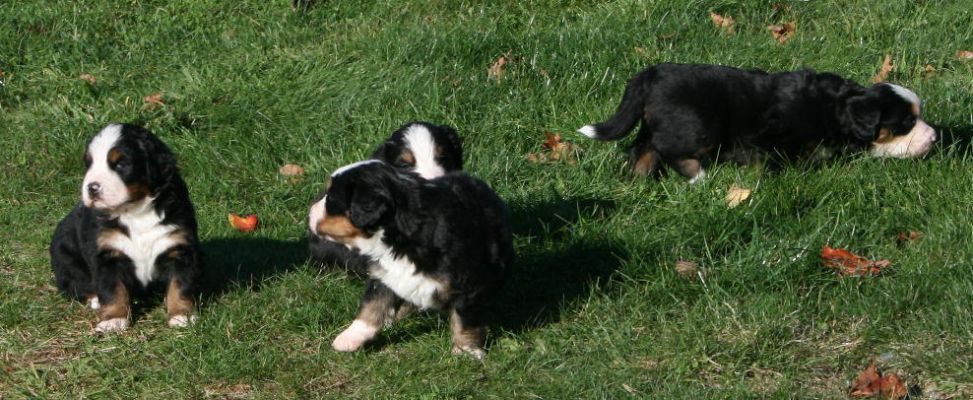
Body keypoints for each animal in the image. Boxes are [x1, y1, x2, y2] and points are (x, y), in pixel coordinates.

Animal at [51, 124, 201, 332]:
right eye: (89, 164)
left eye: (120, 164)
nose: (92, 188)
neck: (135, 211)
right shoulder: (107, 255)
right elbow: (113, 290)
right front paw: (113, 320)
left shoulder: (179, 248)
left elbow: (180, 286)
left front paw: (181, 316)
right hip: (65, 259)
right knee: (76, 285)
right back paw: (95, 300)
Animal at [308, 161, 512, 358]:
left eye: (331, 199)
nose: (309, 210)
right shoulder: (385, 276)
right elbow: (371, 306)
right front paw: (349, 338)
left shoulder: (467, 284)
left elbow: (465, 320)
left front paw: (466, 350)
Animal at [576, 63, 936, 183]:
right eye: (906, 122)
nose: (934, 137)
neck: (835, 109)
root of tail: (649, 75)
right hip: (697, 126)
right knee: (668, 149)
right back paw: (699, 177)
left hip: (660, 123)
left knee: (642, 146)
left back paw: (637, 178)